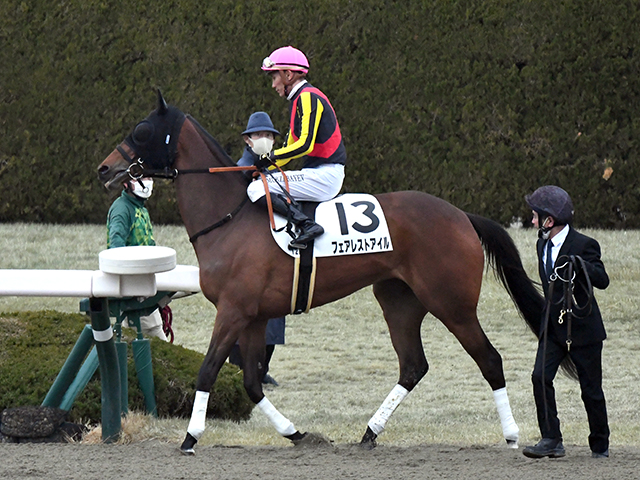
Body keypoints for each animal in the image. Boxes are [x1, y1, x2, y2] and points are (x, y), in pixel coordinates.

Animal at [97, 91, 544, 455]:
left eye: (141, 131)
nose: (105, 169)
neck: (230, 218)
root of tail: (462, 216)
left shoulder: (233, 311)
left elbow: (208, 371)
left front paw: (190, 437)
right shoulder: (254, 316)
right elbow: (251, 382)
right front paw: (297, 433)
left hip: (451, 303)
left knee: (489, 359)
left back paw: (511, 435)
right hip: (399, 300)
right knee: (413, 365)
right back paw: (370, 432)